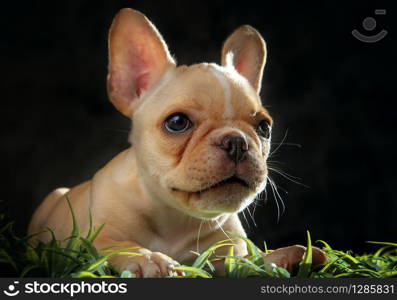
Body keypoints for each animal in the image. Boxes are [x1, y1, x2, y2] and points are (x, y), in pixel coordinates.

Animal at [27, 8, 324, 278]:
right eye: (178, 122)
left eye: (264, 127)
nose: (237, 142)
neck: (175, 217)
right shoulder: (93, 237)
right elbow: (118, 245)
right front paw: (149, 259)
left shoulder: (229, 253)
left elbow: (250, 262)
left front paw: (286, 255)